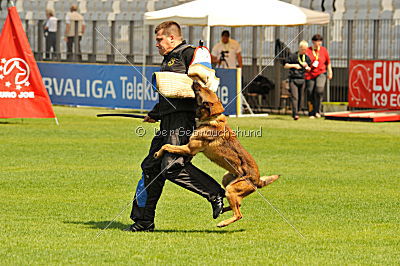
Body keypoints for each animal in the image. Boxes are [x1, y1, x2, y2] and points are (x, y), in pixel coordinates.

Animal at [155, 82, 280, 227]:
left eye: (200, 90)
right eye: (205, 88)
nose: (195, 82)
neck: (211, 118)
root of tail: (258, 180)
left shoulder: (188, 148)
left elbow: (166, 146)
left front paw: (157, 153)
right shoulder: (190, 150)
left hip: (231, 189)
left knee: (239, 214)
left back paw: (223, 222)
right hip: (226, 180)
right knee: (238, 204)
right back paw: (221, 209)